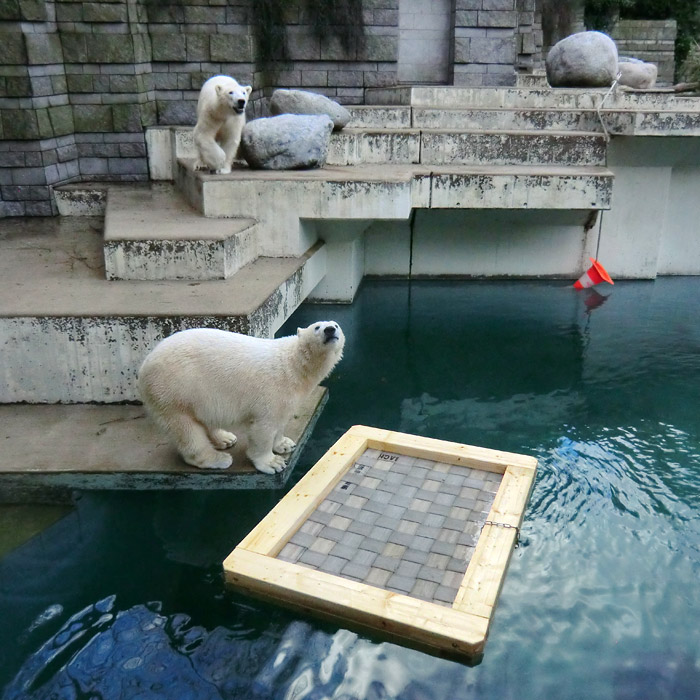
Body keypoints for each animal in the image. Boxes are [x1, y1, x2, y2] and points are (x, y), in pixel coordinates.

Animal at [137, 322, 344, 476]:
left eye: (336, 325)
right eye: (317, 327)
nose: (330, 330)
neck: (294, 365)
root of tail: (144, 364)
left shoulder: (289, 396)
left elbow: (281, 420)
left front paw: (284, 444)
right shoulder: (272, 391)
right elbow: (264, 428)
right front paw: (272, 463)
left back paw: (225, 439)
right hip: (173, 390)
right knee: (186, 429)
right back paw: (218, 458)